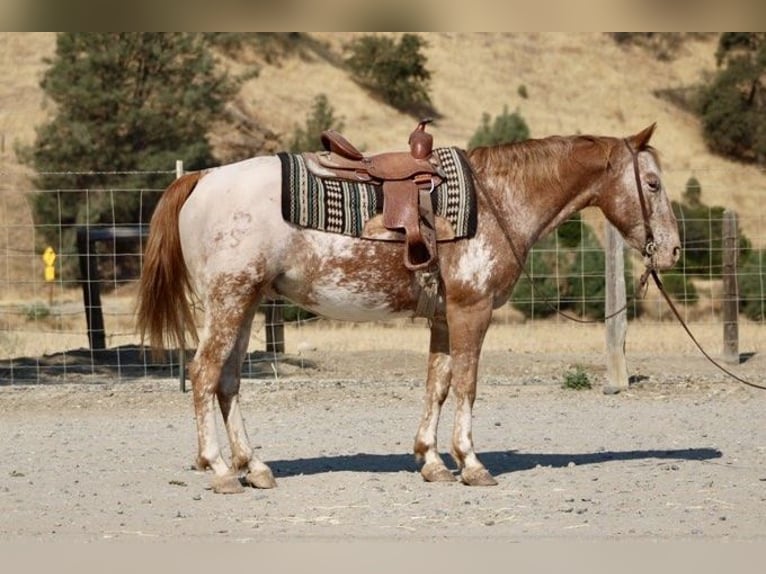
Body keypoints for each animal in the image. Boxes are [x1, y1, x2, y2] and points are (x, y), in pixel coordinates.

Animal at [136, 123, 681, 493]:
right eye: (653, 184)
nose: (673, 251)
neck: (497, 200)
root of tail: (203, 178)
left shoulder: (443, 317)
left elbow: (437, 384)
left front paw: (432, 461)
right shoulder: (471, 310)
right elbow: (466, 384)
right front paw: (471, 463)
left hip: (245, 305)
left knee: (228, 381)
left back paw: (255, 467)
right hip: (228, 301)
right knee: (204, 374)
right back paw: (221, 469)